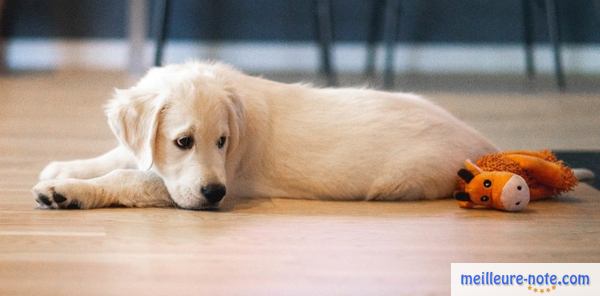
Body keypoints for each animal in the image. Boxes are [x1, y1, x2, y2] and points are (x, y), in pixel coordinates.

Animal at [31, 61, 496, 210]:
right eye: (184, 142)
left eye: (222, 142)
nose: (215, 194)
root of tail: (482, 143)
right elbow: (121, 155)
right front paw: (64, 168)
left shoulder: (227, 181)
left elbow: (128, 178)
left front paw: (65, 191)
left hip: (403, 181)